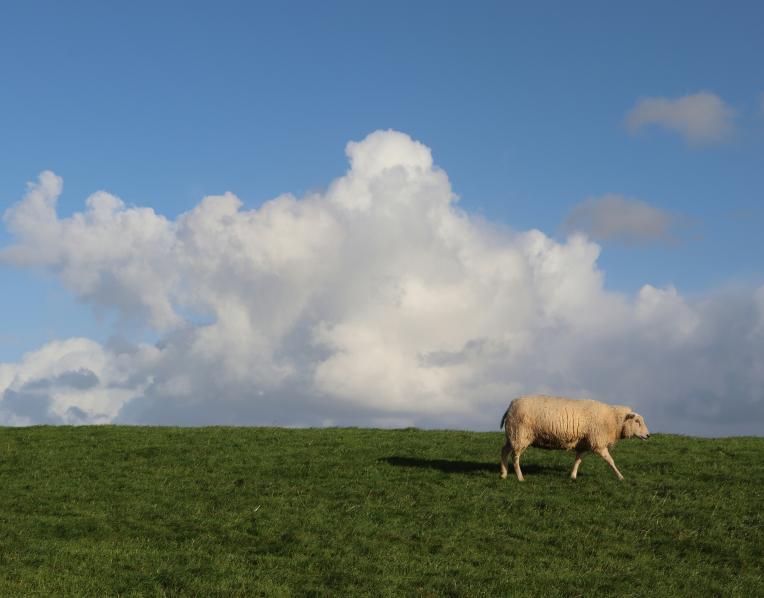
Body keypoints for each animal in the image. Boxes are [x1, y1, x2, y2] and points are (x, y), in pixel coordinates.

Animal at [502, 398, 652, 482]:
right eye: (637, 421)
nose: (648, 435)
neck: (613, 419)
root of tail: (511, 405)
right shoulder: (598, 442)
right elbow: (610, 461)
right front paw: (620, 476)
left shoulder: (584, 444)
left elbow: (578, 460)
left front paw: (573, 476)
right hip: (520, 435)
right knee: (515, 457)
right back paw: (520, 477)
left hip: (512, 435)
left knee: (504, 452)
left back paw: (503, 474)